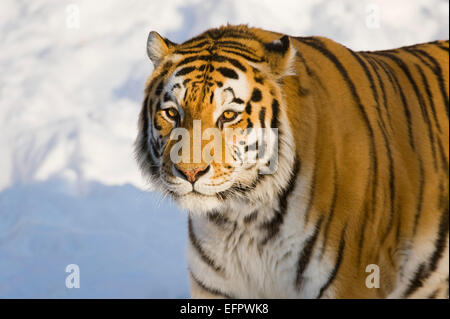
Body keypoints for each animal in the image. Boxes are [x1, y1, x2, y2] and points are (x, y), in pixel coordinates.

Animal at [135, 25, 448, 300]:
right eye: (172, 113)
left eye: (228, 115)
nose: (190, 172)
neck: (243, 217)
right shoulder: (217, 287)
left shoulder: (354, 283)